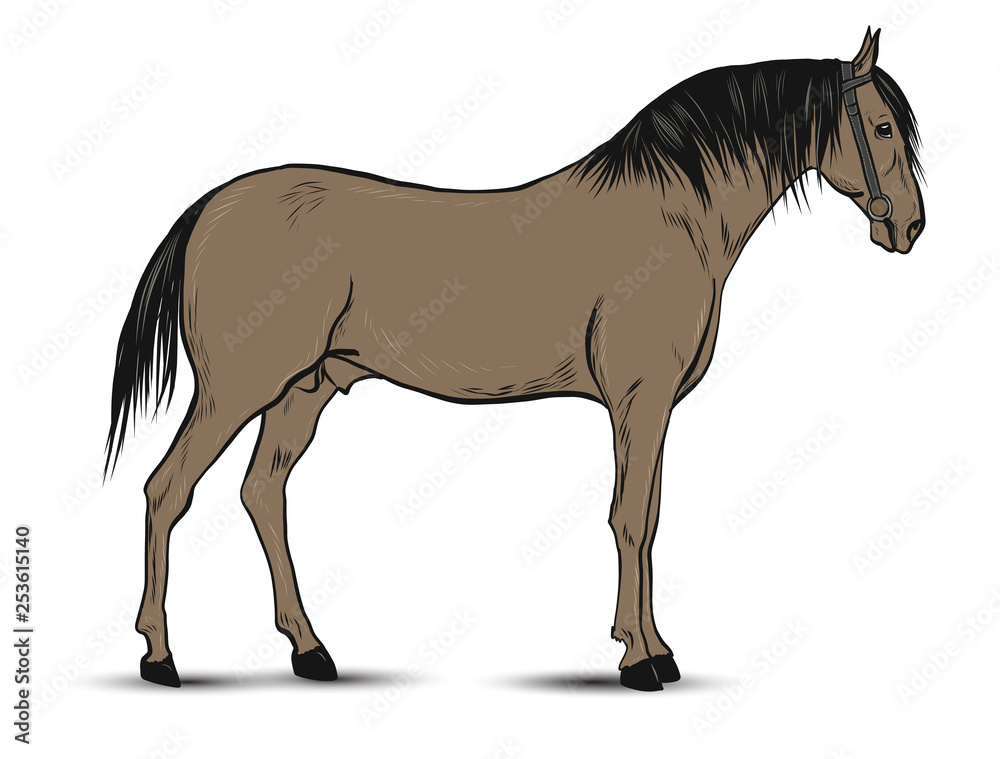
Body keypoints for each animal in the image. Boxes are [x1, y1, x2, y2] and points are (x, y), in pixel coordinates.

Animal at [105, 27, 923, 691]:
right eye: (882, 126)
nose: (911, 227)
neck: (675, 215)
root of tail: (210, 206)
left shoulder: (654, 408)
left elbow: (651, 514)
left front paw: (655, 647)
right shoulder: (640, 399)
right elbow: (631, 518)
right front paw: (639, 661)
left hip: (301, 390)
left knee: (261, 493)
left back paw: (310, 651)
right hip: (236, 389)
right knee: (166, 489)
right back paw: (159, 657)